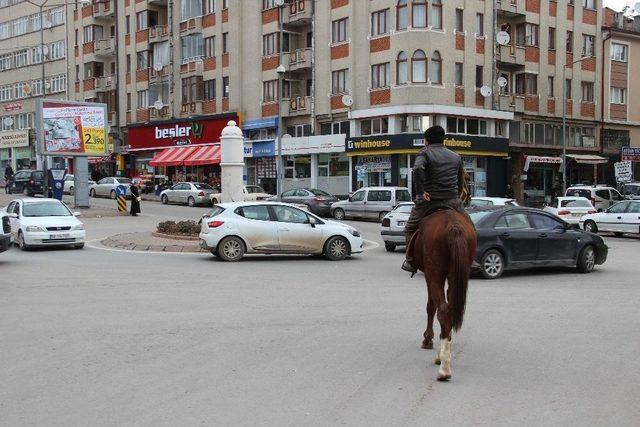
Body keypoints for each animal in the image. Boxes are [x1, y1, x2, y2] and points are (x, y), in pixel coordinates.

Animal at [410, 210, 476, 382]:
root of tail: (453, 226)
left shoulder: (428, 275)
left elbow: (430, 306)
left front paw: (428, 339)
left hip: (435, 274)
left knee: (442, 310)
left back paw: (444, 368)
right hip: (456, 274)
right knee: (450, 309)